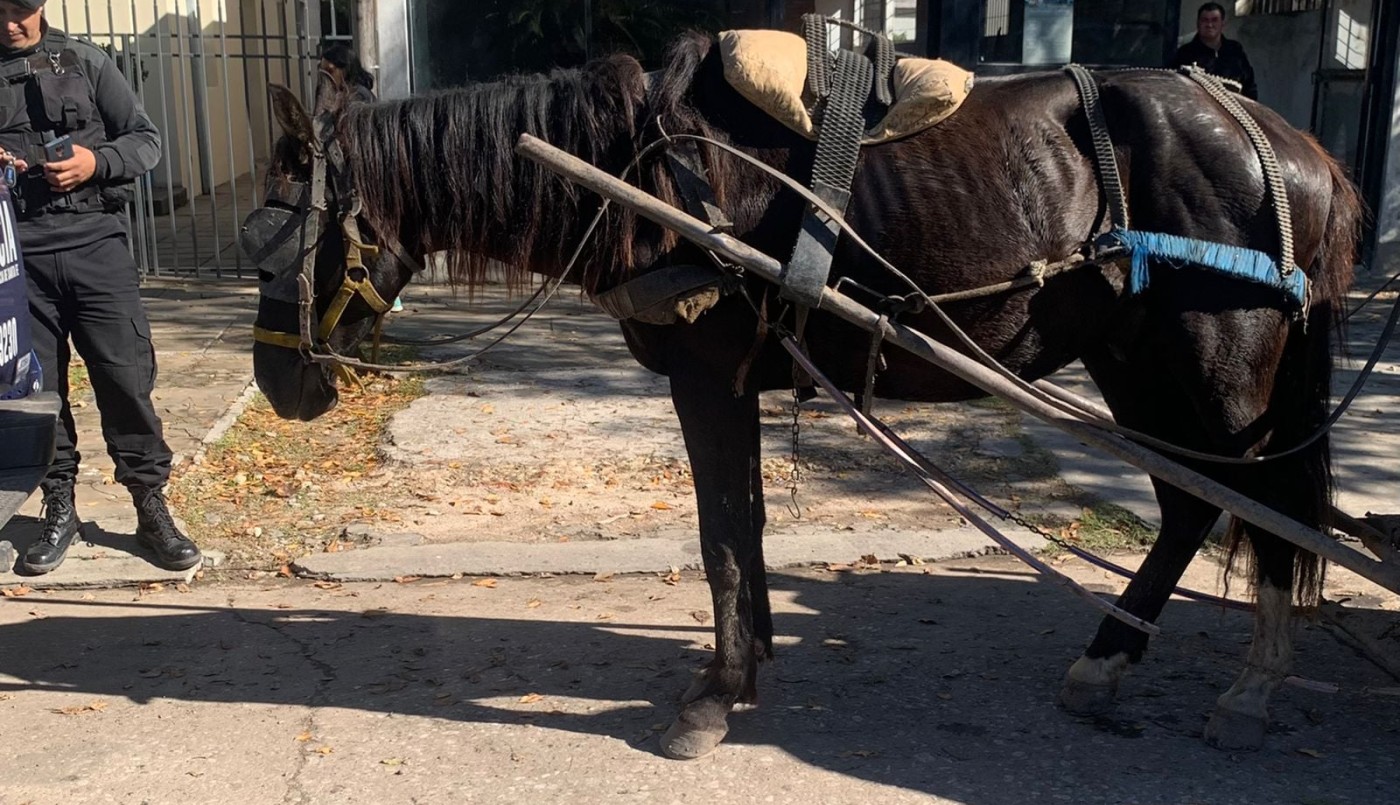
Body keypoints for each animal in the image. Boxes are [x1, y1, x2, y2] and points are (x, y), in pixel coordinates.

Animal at [248, 31, 1361, 759]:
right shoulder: (733, 377)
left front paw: (713, 696)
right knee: (1189, 507)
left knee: (1271, 510)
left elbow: (718, 535)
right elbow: (739, 527)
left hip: (1216, 366)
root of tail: (1287, 142)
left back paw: (1253, 686)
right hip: (1136, 363)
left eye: (289, 236)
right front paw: (747, 667)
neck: (643, 167)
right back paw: (1107, 661)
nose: (277, 382)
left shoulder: (707, 374)